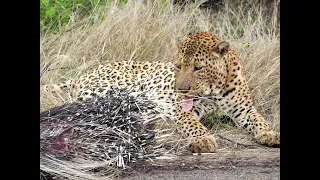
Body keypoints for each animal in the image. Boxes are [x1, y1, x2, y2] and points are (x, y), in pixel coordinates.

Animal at [42, 31, 280, 153]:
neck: (213, 91)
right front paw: (203, 139)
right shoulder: (183, 110)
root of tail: (85, 75)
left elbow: (259, 119)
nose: (180, 89)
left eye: (198, 68)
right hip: (116, 90)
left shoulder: (244, 109)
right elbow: (194, 124)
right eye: (178, 66)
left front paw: (270, 133)